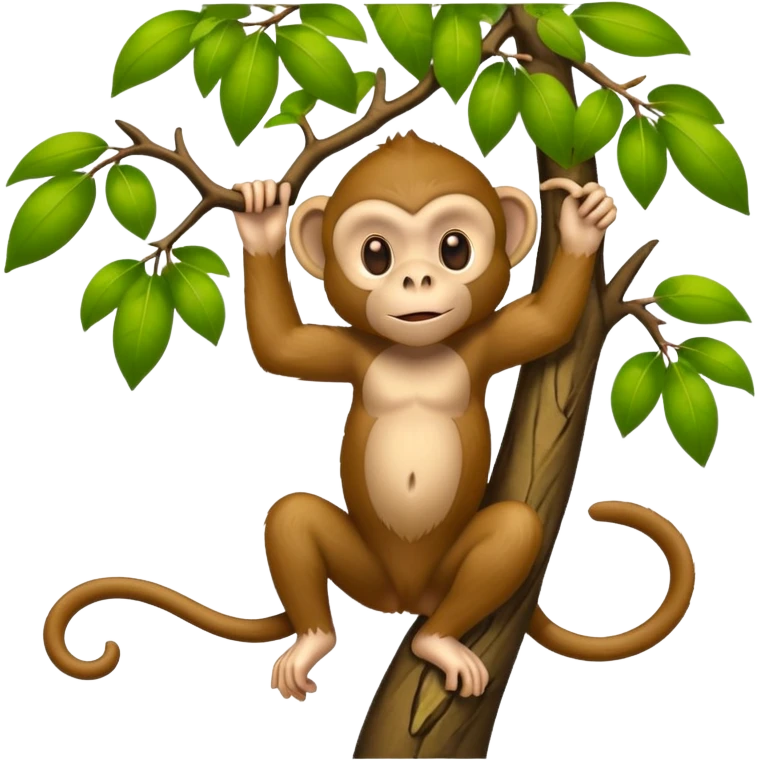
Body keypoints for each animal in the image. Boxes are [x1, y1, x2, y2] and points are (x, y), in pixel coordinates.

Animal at [43, 132, 695, 702]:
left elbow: (548, 324)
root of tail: (404, 598)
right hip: (363, 569)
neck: (415, 352)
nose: (417, 278)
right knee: (292, 517)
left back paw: (438, 641)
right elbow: (280, 348)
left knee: (512, 533)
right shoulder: (355, 352)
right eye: (376, 253)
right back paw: (314, 639)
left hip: (441, 577)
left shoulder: (483, 344)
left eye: (454, 248)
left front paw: (584, 222)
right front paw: (260, 217)